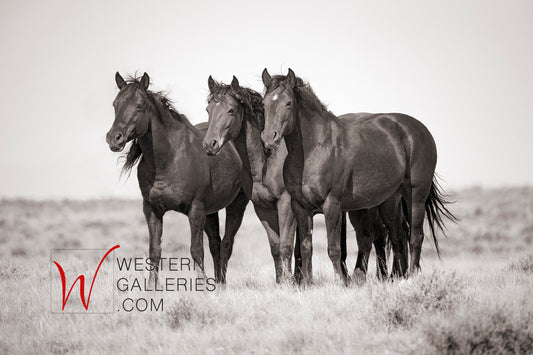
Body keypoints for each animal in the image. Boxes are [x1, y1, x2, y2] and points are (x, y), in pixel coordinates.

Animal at [108, 73, 251, 286]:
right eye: (115, 104)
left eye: (139, 106)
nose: (113, 139)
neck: (169, 159)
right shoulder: (151, 210)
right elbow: (155, 251)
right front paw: (151, 287)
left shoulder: (195, 210)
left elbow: (196, 251)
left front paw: (202, 288)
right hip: (210, 212)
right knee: (215, 244)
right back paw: (217, 284)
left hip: (236, 205)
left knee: (226, 243)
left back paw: (221, 283)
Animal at [202, 76, 402, 284]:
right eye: (209, 110)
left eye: (231, 110)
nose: (210, 144)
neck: (267, 160)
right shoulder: (263, 209)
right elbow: (278, 247)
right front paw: (285, 282)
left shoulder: (287, 205)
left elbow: (288, 246)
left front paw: (291, 281)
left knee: (379, 236)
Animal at [260, 69, 456, 286]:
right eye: (264, 103)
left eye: (288, 103)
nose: (269, 138)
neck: (315, 149)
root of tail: (419, 130)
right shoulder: (300, 207)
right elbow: (305, 246)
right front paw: (306, 284)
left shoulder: (332, 205)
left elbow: (334, 248)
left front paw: (340, 282)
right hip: (389, 201)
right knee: (398, 236)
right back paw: (396, 278)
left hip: (415, 196)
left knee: (415, 236)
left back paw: (410, 278)